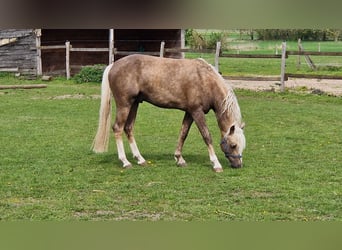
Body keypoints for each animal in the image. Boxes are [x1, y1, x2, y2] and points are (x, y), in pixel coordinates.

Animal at [91, 54, 246, 172]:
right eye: (233, 145)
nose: (238, 165)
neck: (205, 80)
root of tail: (113, 65)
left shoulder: (189, 112)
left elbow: (183, 133)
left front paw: (179, 158)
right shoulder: (197, 112)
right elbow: (206, 136)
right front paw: (216, 164)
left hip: (134, 104)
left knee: (128, 128)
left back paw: (140, 159)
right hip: (124, 105)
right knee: (118, 128)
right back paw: (125, 161)